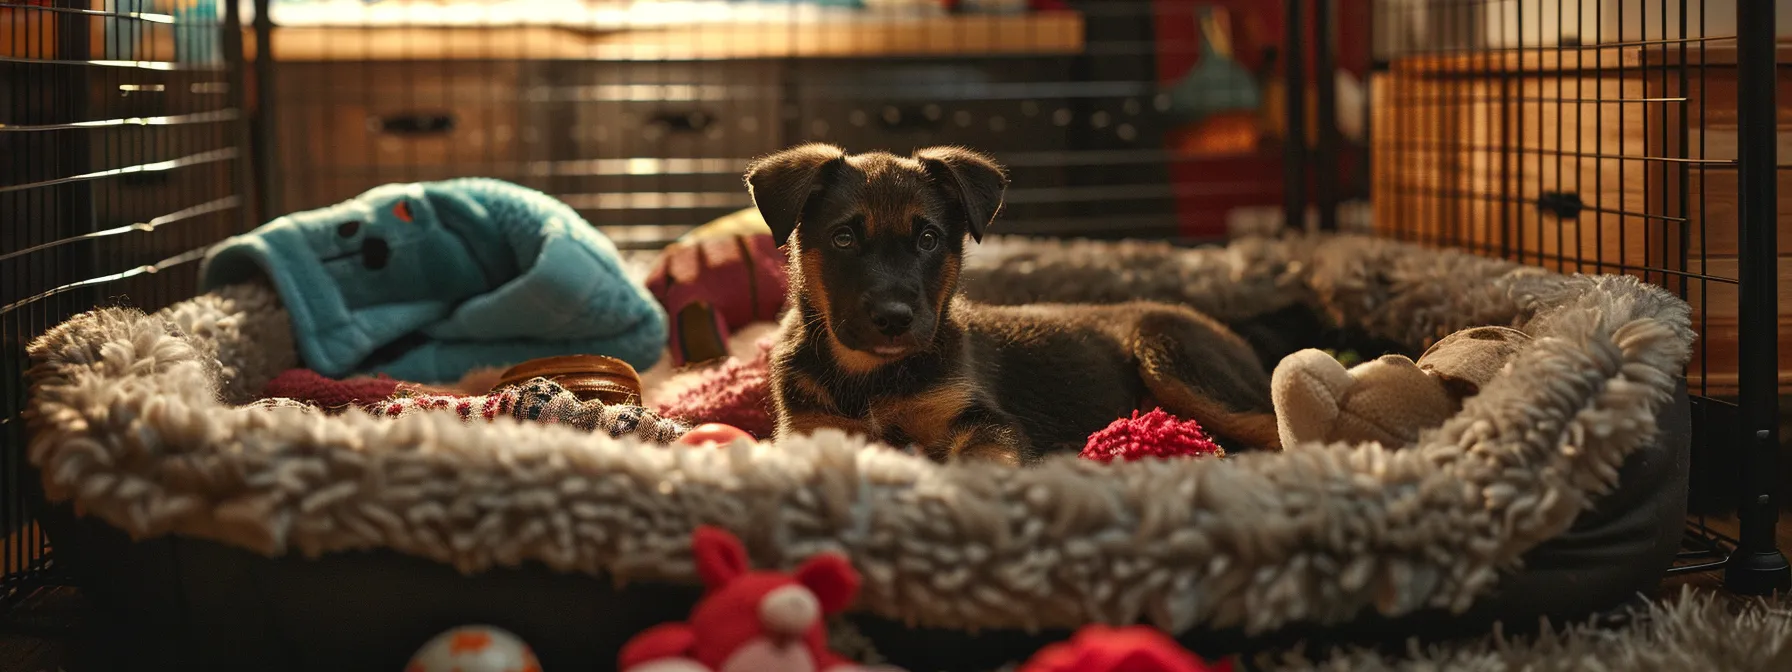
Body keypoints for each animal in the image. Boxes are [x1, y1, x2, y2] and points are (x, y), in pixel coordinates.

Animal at [749, 144, 1283, 465]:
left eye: (928, 239)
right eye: (842, 238)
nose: (894, 319)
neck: (872, 378)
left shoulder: (986, 421)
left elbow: (982, 456)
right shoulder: (811, 430)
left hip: (1171, 354)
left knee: (1270, 423)